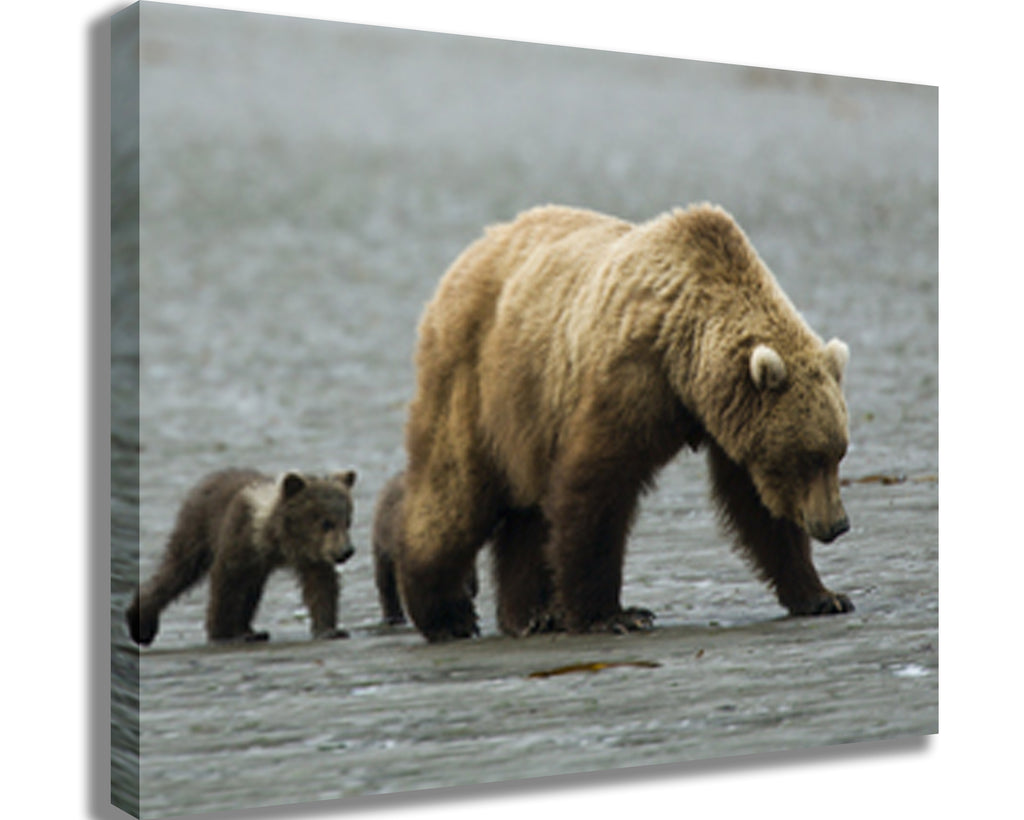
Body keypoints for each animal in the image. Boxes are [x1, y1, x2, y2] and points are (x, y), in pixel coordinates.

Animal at [126, 468, 357, 645]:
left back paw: (251, 631)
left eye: (347, 521)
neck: (277, 542)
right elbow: (225, 582)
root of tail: (207, 480)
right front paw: (221, 633)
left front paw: (330, 630)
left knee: (250, 590)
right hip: (197, 530)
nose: (346, 551)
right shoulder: (240, 538)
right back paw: (142, 624)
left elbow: (321, 585)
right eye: (326, 523)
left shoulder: (311, 556)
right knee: (178, 570)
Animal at [396, 203, 853, 642]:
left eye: (838, 454)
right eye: (808, 457)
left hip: (529, 419)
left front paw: (823, 595)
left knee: (526, 513)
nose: (837, 524)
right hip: (479, 381)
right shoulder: (629, 380)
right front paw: (615, 616)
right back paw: (445, 614)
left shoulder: (726, 421)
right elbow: (596, 488)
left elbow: (756, 505)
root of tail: (468, 255)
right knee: (454, 493)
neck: (685, 362)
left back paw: (532, 615)